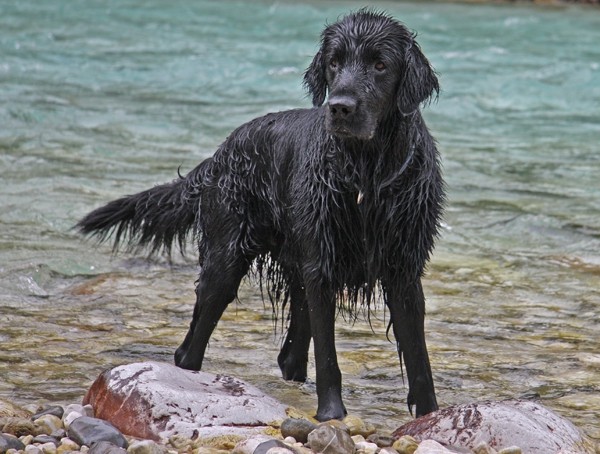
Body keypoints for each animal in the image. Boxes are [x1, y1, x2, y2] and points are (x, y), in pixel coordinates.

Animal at [77, 9, 442, 422]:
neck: (367, 177)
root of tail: (219, 153)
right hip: (226, 259)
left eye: (381, 65)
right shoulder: (321, 267)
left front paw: (430, 414)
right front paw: (332, 415)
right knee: (190, 347)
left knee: (291, 354)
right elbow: (328, 357)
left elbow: (418, 356)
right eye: (334, 62)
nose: (340, 107)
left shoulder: (404, 270)